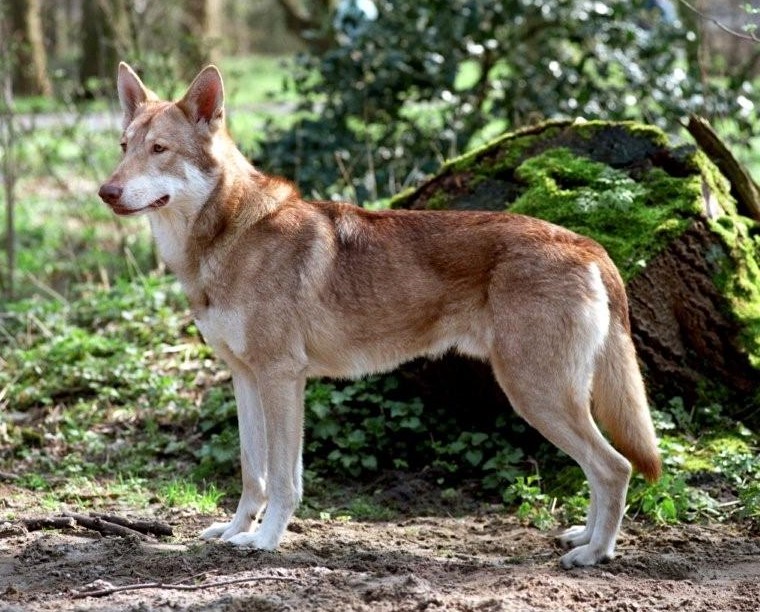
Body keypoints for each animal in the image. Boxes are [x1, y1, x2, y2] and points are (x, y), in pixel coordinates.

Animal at [99, 63, 660, 568]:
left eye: (160, 150)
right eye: (124, 147)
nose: (106, 192)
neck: (224, 239)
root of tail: (589, 244)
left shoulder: (282, 378)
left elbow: (283, 479)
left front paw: (265, 542)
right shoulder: (245, 378)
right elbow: (251, 472)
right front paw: (236, 532)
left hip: (535, 394)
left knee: (614, 468)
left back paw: (595, 554)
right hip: (547, 396)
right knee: (603, 470)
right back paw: (582, 537)